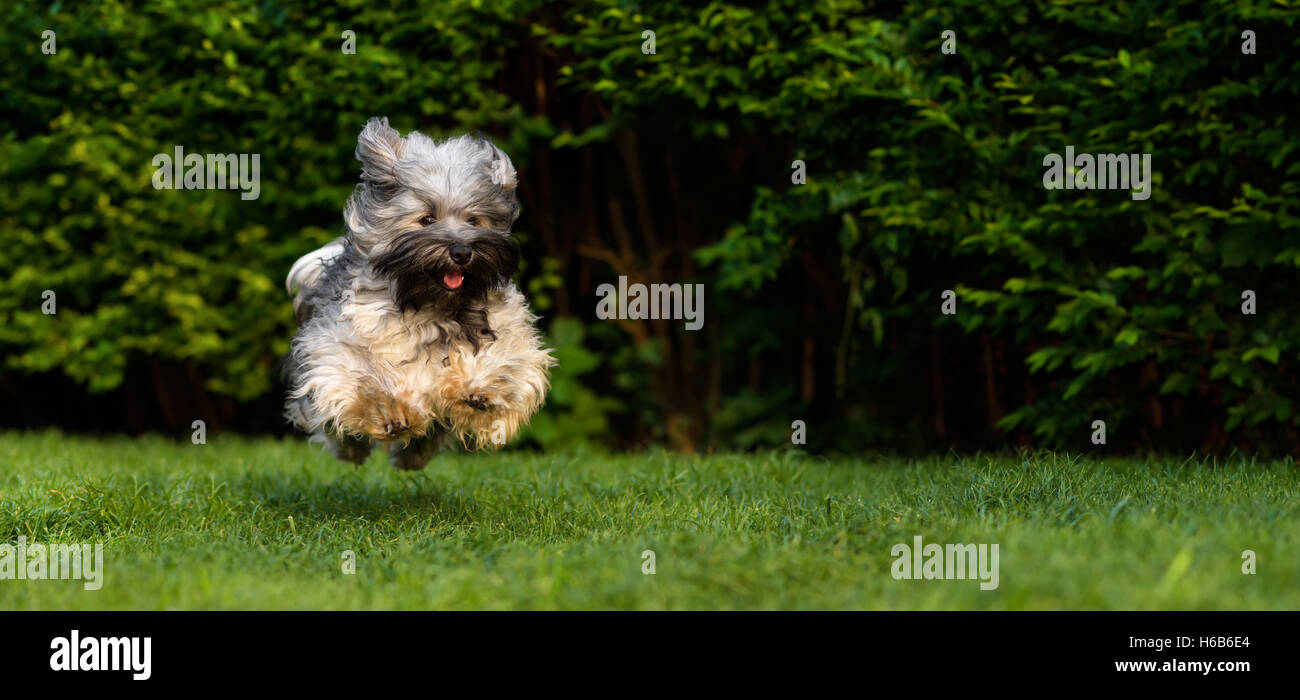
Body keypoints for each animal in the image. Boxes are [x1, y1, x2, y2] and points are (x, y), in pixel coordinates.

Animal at [283, 117, 553, 468]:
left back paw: (412, 456)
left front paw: (479, 391)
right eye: (426, 219)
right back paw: (356, 449)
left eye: (473, 219)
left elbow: (504, 363)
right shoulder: (340, 342)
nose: (461, 252)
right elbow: (363, 377)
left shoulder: (508, 333)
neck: (431, 304)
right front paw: (388, 412)